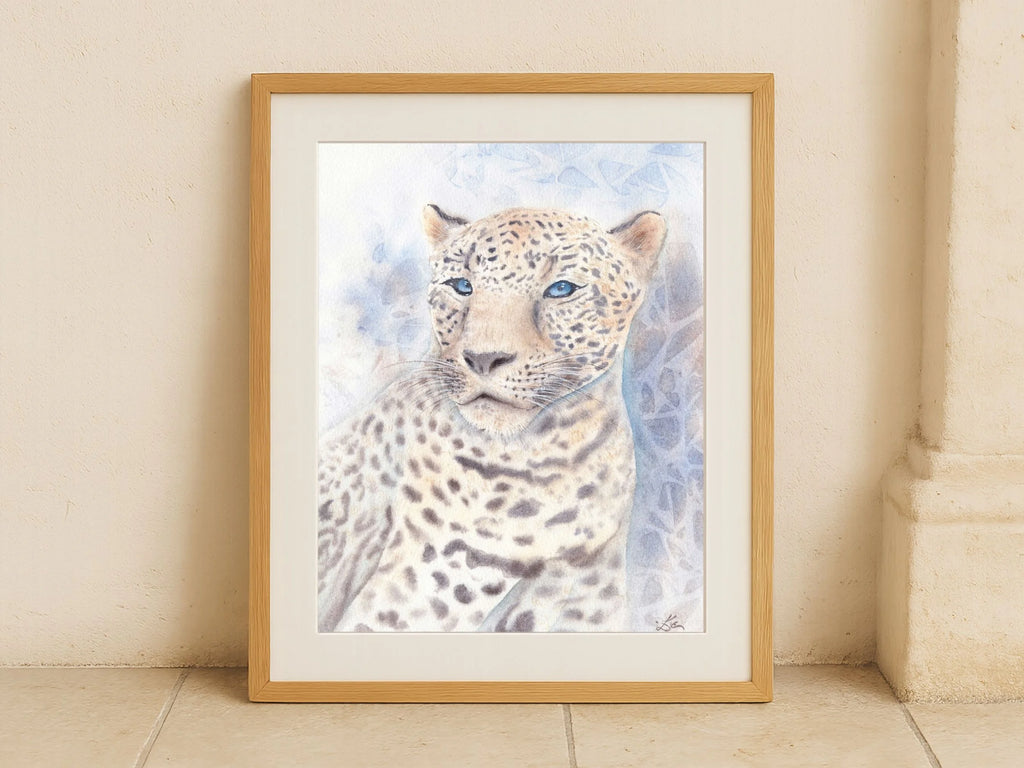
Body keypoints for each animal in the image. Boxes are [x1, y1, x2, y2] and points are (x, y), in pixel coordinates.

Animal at [317, 204, 666, 632]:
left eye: (561, 289)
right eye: (461, 285)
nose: (484, 358)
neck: (558, 455)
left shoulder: (586, 593)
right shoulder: (426, 581)